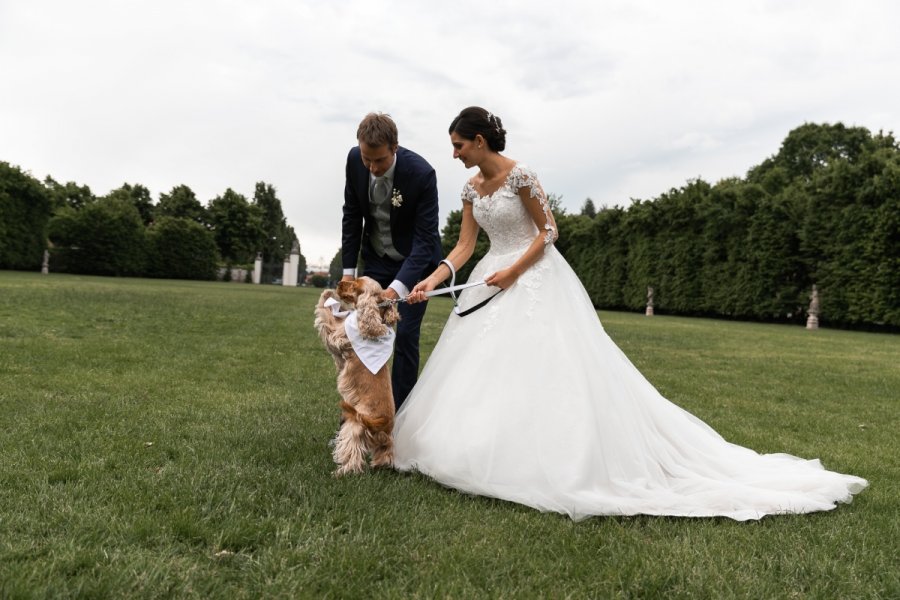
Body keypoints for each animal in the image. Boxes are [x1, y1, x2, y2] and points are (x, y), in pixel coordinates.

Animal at [316, 278, 400, 478]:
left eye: (355, 284)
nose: (339, 282)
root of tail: (381, 425)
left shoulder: (337, 336)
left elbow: (326, 315)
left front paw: (327, 294)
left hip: (354, 425)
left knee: (353, 453)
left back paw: (341, 472)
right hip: (385, 441)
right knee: (386, 453)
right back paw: (380, 466)